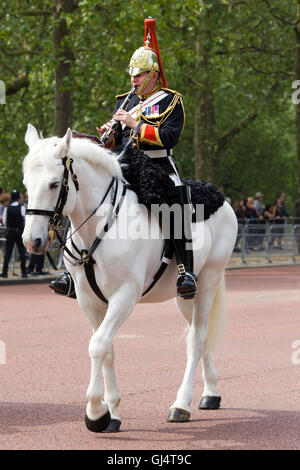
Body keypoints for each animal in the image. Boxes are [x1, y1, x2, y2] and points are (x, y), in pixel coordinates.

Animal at [22, 123, 238, 432]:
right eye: (26, 184)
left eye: (54, 184)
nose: (33, 241)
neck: (99, 226)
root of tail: (222, 199)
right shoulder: (89, 300)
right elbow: (107, 347)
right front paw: (112, 413)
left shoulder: (124, 295)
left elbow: (98, 345)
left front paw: (96, 412)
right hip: (186, 296)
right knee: (199, 334)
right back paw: (210, 393)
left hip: (208, 280)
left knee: (197, 339)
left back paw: (181, 404)